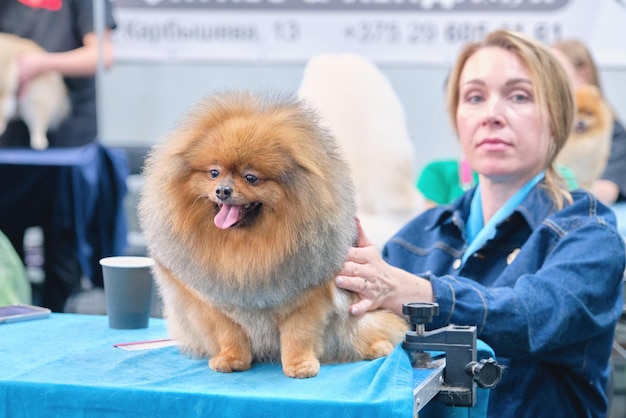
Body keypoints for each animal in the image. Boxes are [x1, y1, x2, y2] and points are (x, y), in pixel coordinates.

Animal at [138, 91, 408, 378]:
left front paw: (299, 365)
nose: (222, 190)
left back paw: (376, 348)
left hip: (358, 320)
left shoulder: (306, 300)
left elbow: (298, 334)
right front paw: (231, 359)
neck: (246, 244)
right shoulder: (219, 303)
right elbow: (230, 333)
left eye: (251, 177)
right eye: (214, 173)